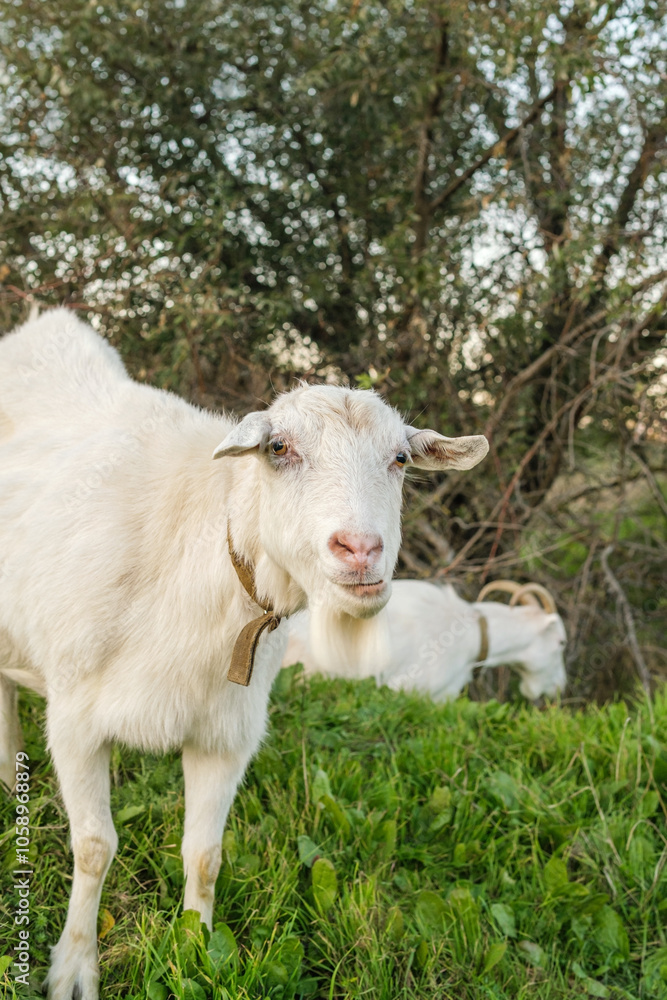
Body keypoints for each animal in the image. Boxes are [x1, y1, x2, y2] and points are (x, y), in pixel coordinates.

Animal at [0, 308, 488, 1000]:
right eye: (278, 449)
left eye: (399, 459)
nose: (360, 550)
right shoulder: (75, 720)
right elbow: (94, 846)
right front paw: (74, 967)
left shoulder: (225, 734)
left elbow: (205, 856)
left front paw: (195, 950)